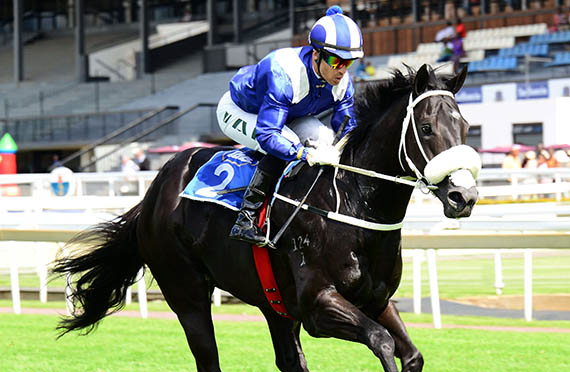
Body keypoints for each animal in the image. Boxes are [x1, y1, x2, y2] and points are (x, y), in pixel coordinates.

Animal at [54, 64, 480, 372]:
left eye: (465, 127)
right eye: (426, 127)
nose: (464, 196)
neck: (352, 206)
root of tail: (156, 188)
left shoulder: (376, 300)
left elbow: (411, 354)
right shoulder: (318, 305)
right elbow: (382, 341)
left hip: (271, 300)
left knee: (289, 359)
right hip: (187, 294)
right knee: (208, 357)